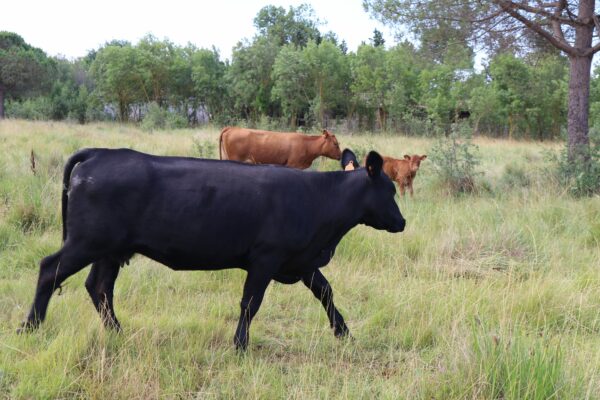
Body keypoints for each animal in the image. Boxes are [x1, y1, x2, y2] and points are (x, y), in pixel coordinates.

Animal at [19, 148, 404, 350]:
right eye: (390, 190)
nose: (402, 222)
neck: (319, 200)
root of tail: (100, 153)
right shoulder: (266, 257)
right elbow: (250, 303)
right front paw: (240, 345)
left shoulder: (302, 259)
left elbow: (326, 291)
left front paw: (343, 331)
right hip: (86, 242)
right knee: (50, 270)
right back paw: (30, 327)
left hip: (111, 250)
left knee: (98, 286)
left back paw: (117, 333)